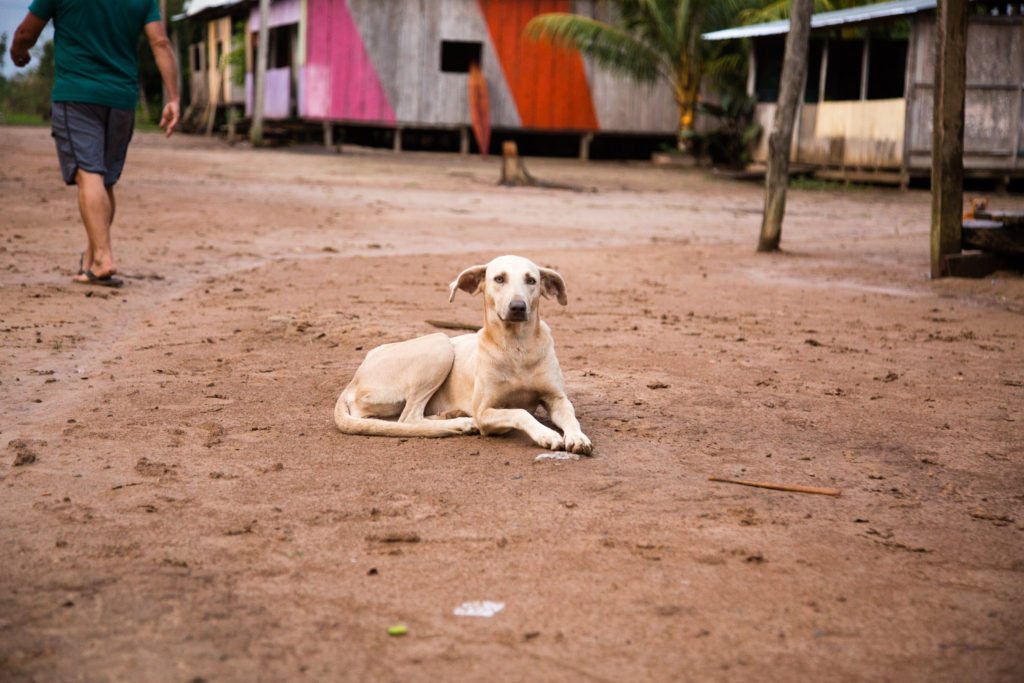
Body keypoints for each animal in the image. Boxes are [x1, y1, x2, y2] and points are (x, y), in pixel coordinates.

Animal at [335, 254, 593, 454]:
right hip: (440, 344)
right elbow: (519, 412)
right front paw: (546, 434)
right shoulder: (484, 412)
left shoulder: (556, 398)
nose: (518, 307)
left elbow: (570, 416)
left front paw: (577, 438)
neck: (516, 348)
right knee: (408, 418)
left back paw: (451, 415)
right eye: (499, 278)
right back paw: (460, 423)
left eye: (531, 280)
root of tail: (354, 378)